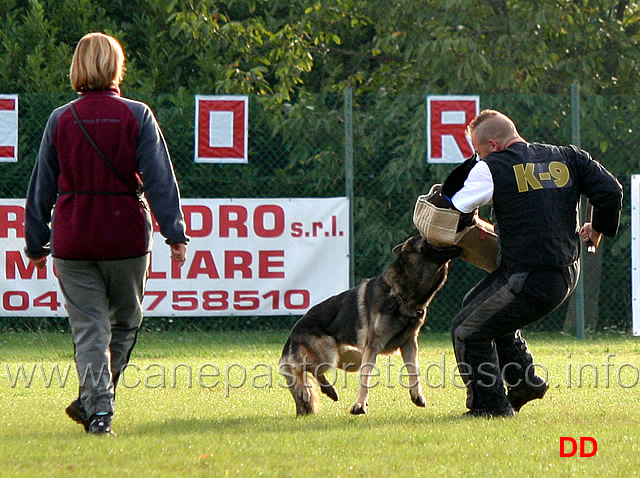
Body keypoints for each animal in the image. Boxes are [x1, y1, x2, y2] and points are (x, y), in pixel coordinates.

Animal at [280, 235, 460, 414]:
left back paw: (325, 391)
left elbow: (414, 371)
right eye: (425, 238)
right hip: (328, 351)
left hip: (352, 358)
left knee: (309, 370)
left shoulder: (409, 344)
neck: (401, 295)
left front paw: (417, 395)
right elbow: (365, 379)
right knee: (300, 368)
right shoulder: (373, 346)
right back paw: (310, 389)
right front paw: (359, 405)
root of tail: (293, 331)